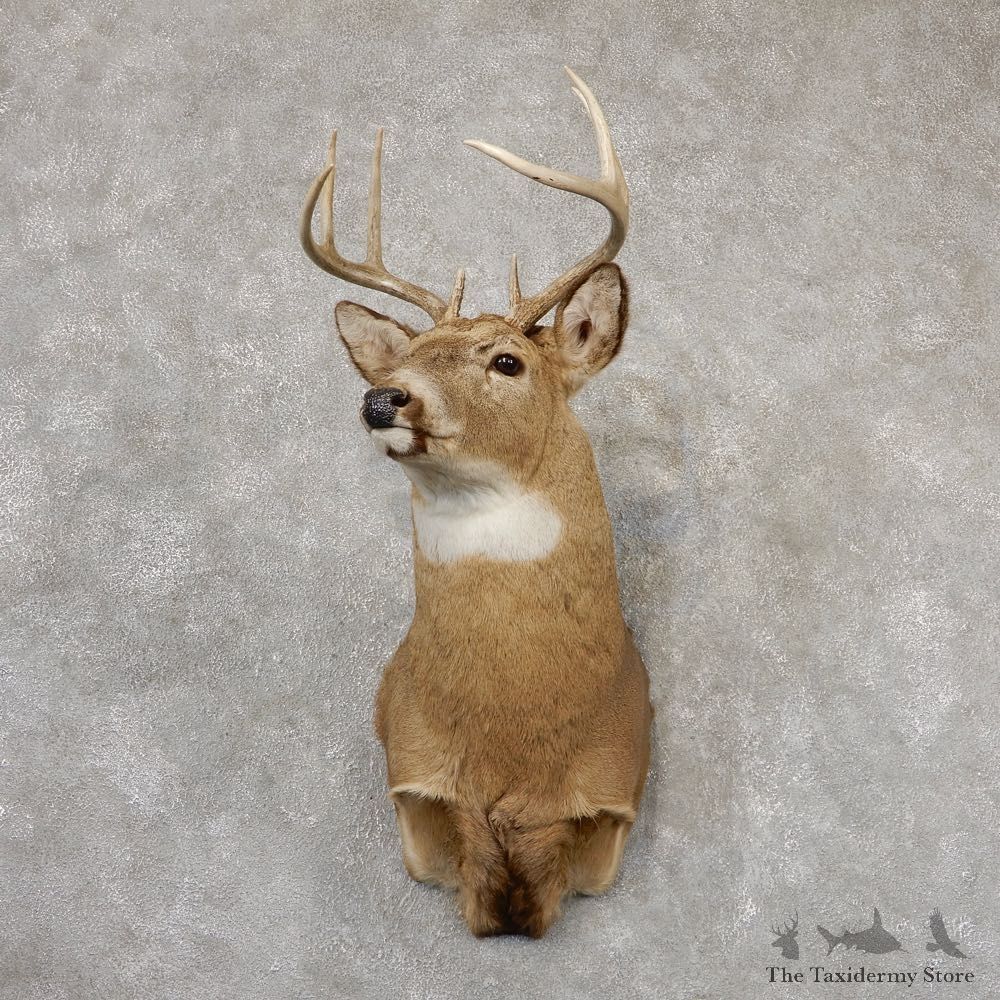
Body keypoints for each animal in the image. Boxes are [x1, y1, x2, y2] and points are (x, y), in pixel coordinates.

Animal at [300, 67, 653, 938]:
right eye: (412, 354)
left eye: (508, 361)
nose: (382, 397)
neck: (513, 745)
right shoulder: (411, 769)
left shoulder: (617, 784)